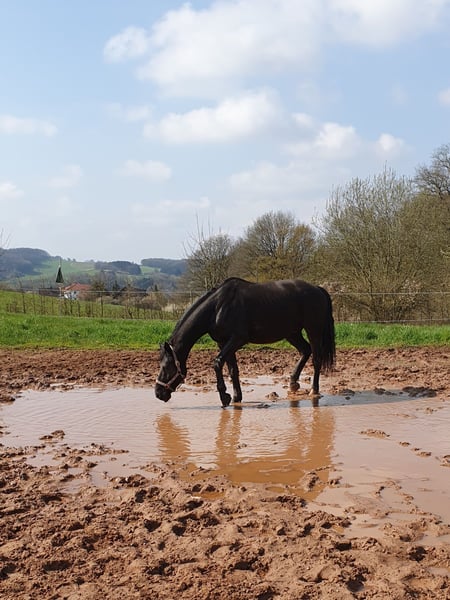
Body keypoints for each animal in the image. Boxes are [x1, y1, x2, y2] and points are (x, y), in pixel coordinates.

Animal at [155, 277, 335, 407]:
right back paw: (293, 383)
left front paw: (224, 397)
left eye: (167, 367)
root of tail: (318, 289)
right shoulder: (224, 343)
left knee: (316, 358)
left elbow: (217, 363)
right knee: (305, 351)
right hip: (292, 333)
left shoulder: (237, 339)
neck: (218, 307)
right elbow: (232, 370)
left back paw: (314, 390)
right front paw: (236, 397)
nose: (158, 393)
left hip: (313, 330)